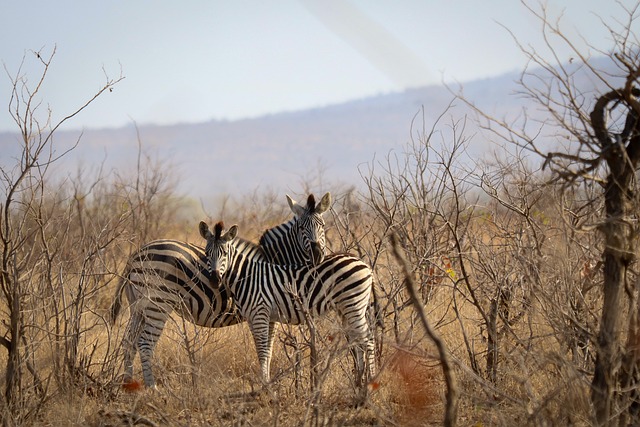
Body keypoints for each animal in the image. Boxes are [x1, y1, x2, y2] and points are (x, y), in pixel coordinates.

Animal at [109, 193, 331, 388]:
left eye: (322, 226)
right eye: (301, 227)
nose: (317, 254)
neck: (274, 262)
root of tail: (136, 254)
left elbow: (267, 349)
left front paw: (266, 382)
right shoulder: (267, 311)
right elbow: (266, 349)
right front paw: (266, 384)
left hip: (139, 306)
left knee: (128, 342)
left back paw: (128, 385)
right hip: (157, 304)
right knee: (145, 344)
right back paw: (151, 387)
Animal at [198, 221, 376, 387]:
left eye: (224, 253)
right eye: (207, 253)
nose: (214, 280)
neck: (246, 276)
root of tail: (363, 263)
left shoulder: (260, 313)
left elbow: (262, 351)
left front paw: (265, 385)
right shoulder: (258, 317)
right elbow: (266, 351)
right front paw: (267, 381)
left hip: (354, 305)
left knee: (368, 339)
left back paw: (371, 381)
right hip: (345, 309)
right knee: (358, 341)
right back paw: (359, 380)